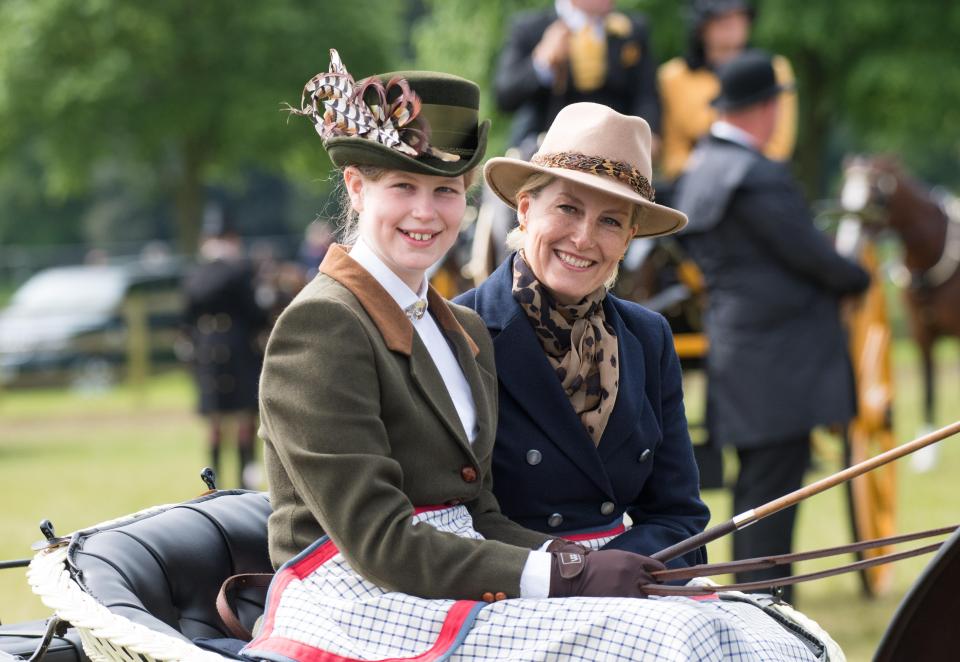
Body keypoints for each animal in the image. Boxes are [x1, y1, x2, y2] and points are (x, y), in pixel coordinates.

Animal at [840, 156, 960, 470]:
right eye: (845, 194)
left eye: (875, 197)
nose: (847, 247)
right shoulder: (921, 331)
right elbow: (928, 387)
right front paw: (926, 455)